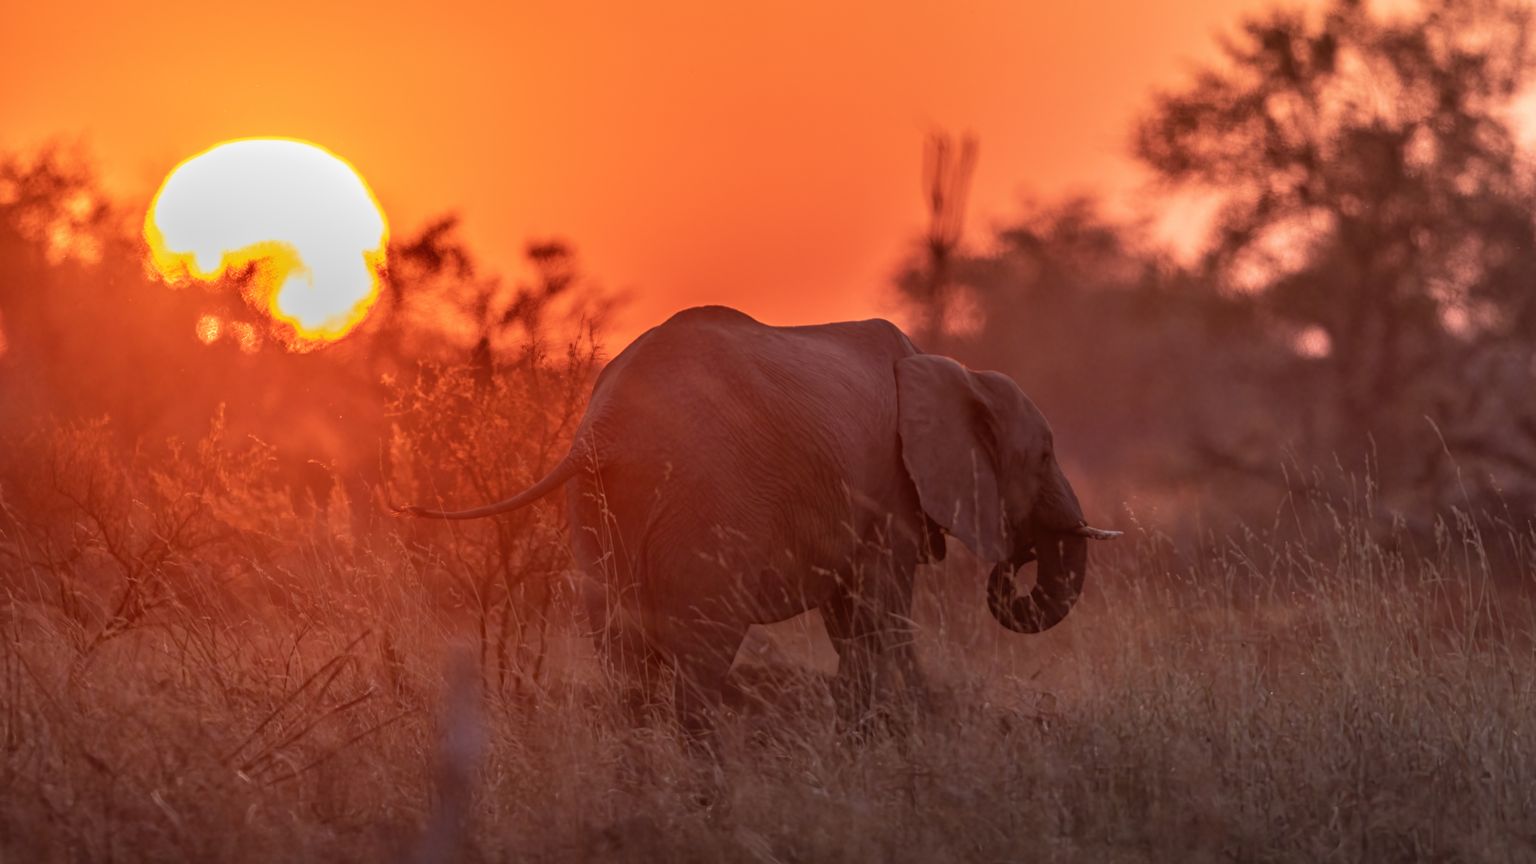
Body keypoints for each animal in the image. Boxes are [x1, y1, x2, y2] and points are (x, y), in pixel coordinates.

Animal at [397, 305, 1120, 735]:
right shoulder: (888, 494)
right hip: (705, 509)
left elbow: (851, 625)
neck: (956, 371)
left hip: (598, 515)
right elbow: (879, 619)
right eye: (1044, 454)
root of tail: (602, 429)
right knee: (697, 662)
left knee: (627, 667)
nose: (1016, 564)